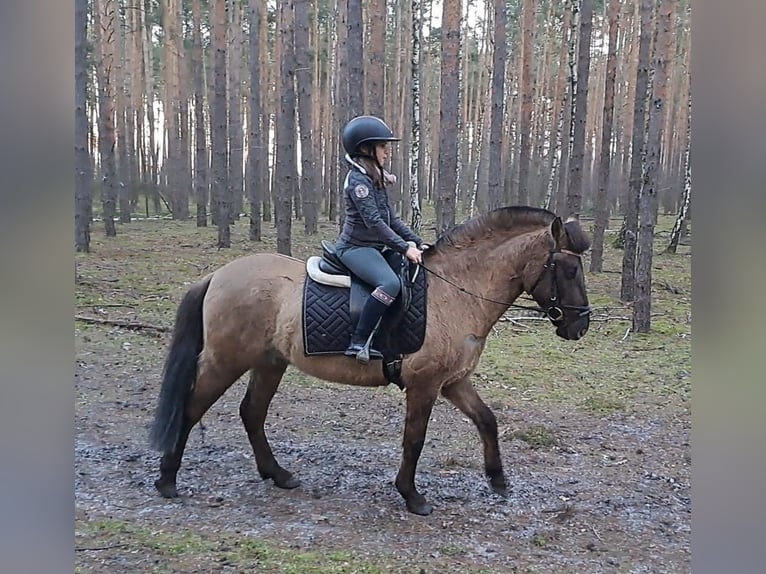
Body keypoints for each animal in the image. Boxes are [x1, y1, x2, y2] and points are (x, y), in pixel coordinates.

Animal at [149, 206, 591, 515]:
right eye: (569, 268)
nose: (580, 326)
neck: (456, 293)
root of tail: (219, 275)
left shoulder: (453, 381)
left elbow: (487, 421)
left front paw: (498, 480)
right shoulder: (425, 384)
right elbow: (414, 439)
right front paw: (412, 496)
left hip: (270, 362)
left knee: (252, 413)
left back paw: (278, 475)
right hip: (226, 360)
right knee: (190, 408)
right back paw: (167, 480)